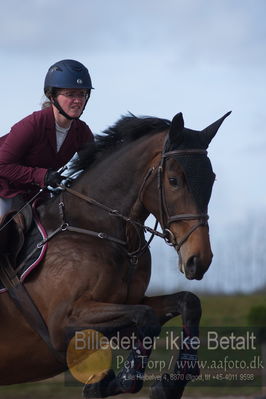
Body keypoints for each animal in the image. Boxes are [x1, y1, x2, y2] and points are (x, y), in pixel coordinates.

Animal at [0, 111, 229, 399]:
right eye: (173, 181)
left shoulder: (128, 307)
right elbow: (147, 318)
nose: (199, 260)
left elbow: (186, 303)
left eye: (212, 179)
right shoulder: (61, 323)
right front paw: (120, 380)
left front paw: (170, 383)